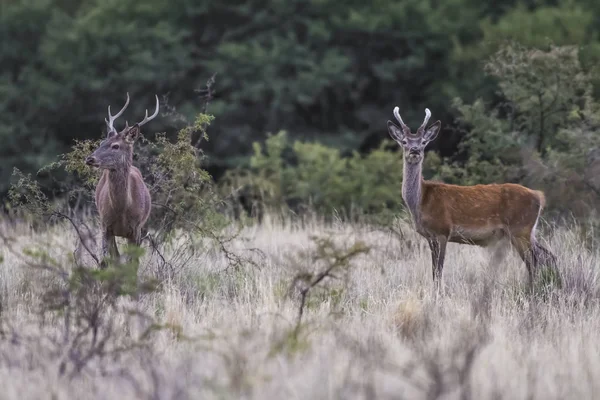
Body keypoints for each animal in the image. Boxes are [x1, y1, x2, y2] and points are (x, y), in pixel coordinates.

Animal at [85, 93, 159, 268]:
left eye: (116, 146)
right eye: (101, 143)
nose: (90, 159)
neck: (122, 209)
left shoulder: (136, 229)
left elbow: (134, 264)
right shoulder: (105, 225)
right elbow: (105, 262)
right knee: (115, 257)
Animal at [386, 104, 556, 290]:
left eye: (423, 142)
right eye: (404, 142)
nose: (415, 150)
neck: (421, 201)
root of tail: (539, 196)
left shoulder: (442, 230)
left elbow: (438, 271)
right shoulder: (430, 236)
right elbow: (434, 271)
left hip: (520, 229)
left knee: (534, 262)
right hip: (528, 231)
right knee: (549, 256)